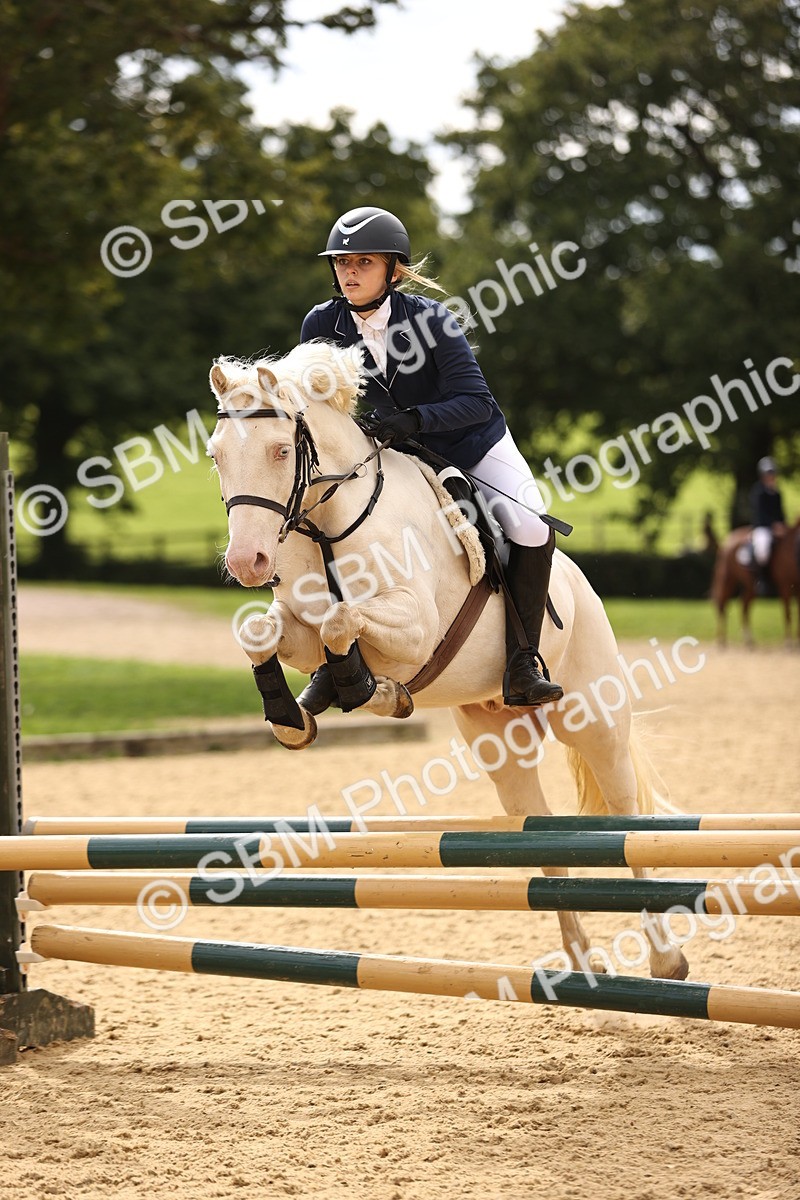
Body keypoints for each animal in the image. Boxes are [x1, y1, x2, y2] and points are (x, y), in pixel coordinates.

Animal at [207, 340, 689, 982]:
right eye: (217, 456)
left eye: (281, 450)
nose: (249, 562)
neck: (330, 524)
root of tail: (582, 586)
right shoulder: (300, 627)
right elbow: (263, 631)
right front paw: (295, 713)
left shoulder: (415, 629)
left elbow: (344, 622)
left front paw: (373, 690)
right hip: (499, 741)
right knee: (538, 836)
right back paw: (578, 964)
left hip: (593, 717)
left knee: (624, 813)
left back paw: (666, 957)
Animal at [708, 518, 800, 647]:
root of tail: (728, 540)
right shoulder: (785, 585)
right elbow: (788, 613)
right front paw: (789, 642)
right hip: (728, 579)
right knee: (722, 605)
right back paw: (721, 641)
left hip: (750, 586)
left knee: (743, 606)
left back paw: (748, 641)